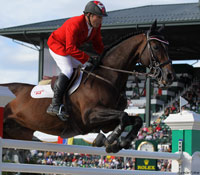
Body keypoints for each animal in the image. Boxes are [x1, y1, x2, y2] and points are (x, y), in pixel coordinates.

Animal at [0, 20, 174, 152]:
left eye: (168, 47)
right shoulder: (90, 115)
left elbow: (135, 119)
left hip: (17, 132)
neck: (107, 77)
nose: (170, 76)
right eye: (156, 47)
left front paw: (118, 143)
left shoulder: (106, 122)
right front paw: (110, 140)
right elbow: (124, 116)